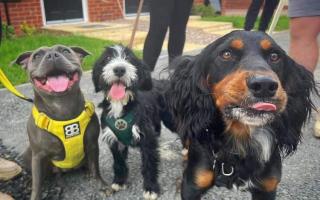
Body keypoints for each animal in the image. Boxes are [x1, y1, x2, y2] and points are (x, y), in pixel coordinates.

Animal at [92, 44, 171, 199]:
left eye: (129, 58)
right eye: (108, 58)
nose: (119, 69)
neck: (120, 105)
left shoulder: (147, 138)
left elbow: (149, 163)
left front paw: (151, 188)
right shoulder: (113, 139)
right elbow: (118, 162)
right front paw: (119, 181)